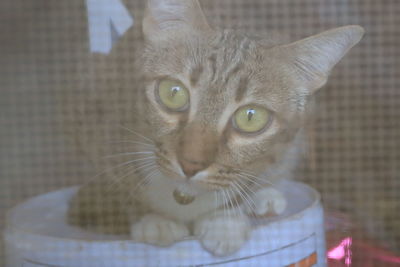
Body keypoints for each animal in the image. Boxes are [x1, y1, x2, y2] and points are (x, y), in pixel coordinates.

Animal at [65, 0, 362, 258]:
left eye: (250, 117)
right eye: (173, 93)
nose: (191, 164)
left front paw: (225, 221)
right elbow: (120, 181)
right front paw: (152, 218)